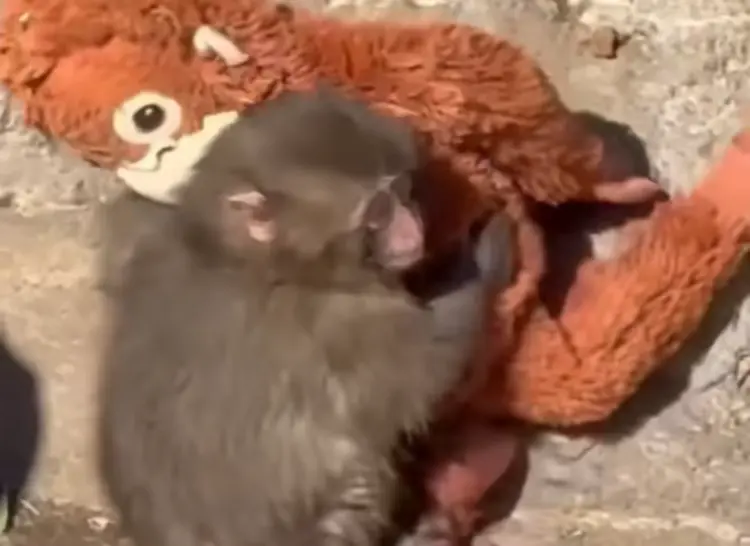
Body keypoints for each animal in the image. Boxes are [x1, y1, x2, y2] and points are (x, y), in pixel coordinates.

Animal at [96, 88, 517, 546]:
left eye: (402, 189)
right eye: (377, 212)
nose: (414, 229)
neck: (257, 264)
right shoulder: (343, 324)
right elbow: (437, 363)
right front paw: (486, 251)